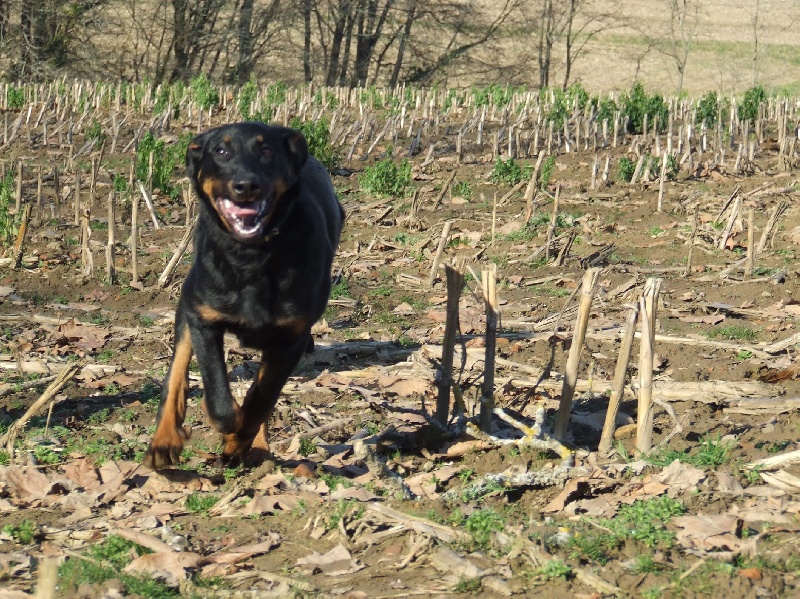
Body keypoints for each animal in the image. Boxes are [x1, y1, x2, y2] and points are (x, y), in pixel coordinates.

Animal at [145, 120, 344, 468]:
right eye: (221, 151)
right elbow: (219, 398)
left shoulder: (290, 336)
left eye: (267, 150)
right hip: (190, 301)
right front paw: (226, 426)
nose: (246, 186)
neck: (251, 255)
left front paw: (238, 444)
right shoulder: (203, 318)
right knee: (176, 373)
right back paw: (164, 439)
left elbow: (261, 399)